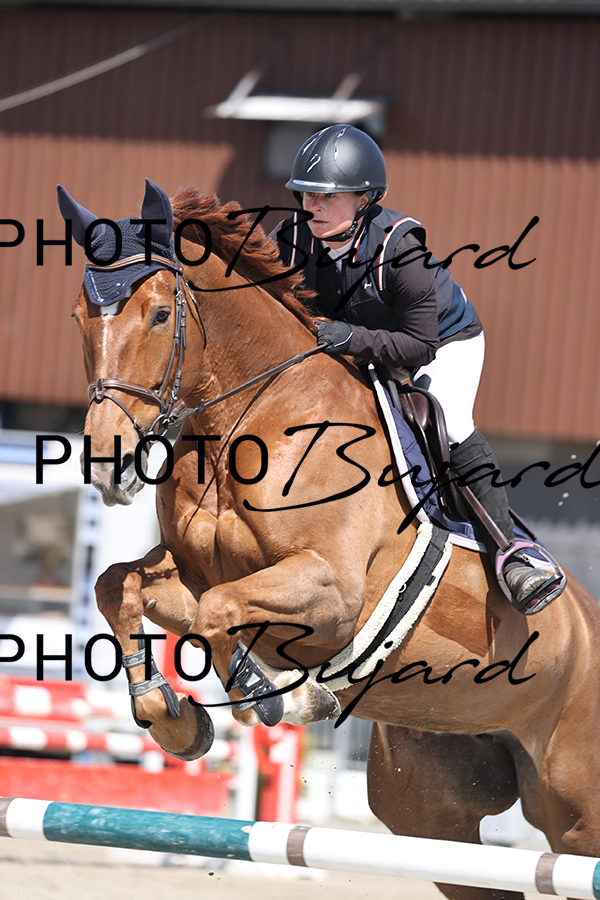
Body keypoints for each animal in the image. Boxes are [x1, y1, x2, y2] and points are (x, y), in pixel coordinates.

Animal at [61, 180, 600, 900]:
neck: (254, 415)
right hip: (431, 808)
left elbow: (220, 612)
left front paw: (286, 696)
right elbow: (117, 585)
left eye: (156, 315)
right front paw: (172, 719)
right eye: (78, 317)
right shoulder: (192, 572)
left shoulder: (333, 593)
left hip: (576, 807)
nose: (106, 460)